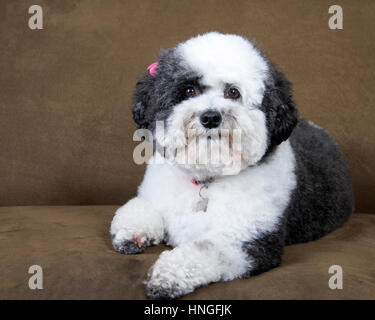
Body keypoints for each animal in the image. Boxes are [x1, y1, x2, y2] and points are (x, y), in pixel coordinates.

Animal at [109, 31, 356, 298]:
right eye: (189, 90)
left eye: (233, 92)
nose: (210, 117)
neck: (207, 180)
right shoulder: (154, 197)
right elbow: (137, 209)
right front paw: (132, 234)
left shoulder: (246, 241)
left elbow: (203, 250)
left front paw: (167, 276)